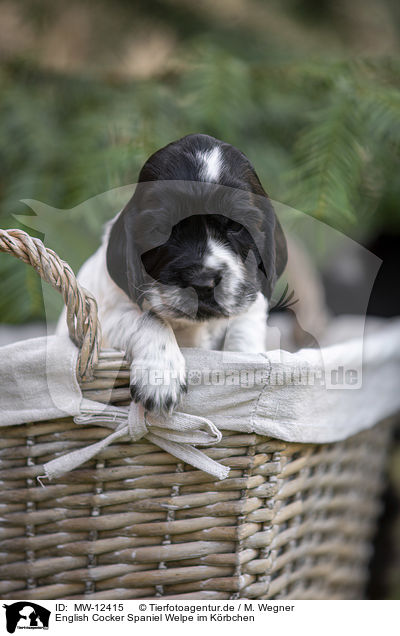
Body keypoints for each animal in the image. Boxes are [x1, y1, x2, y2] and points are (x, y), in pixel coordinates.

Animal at [59, 134, 288, 412]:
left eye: (235, 225)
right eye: (161, 230)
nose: (202, 282)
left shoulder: (250, 300)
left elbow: (244, 326)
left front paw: (244, 357)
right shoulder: (103, 320)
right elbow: (149, 316)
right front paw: (160, 375)